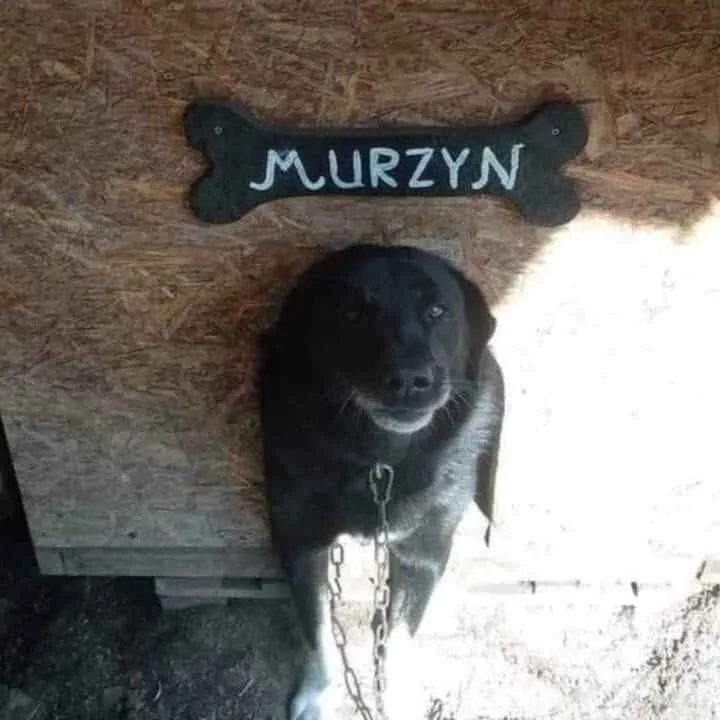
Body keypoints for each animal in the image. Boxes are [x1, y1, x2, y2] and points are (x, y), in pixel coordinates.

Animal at [259, 244, 504, 719]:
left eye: (437, 311)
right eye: (351, 313)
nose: (409, 380)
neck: (380, 462)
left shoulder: (422, 550)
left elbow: (401, 636)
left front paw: (396, 697)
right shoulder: (300, 541)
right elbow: (319, 633)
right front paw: (318, 697)